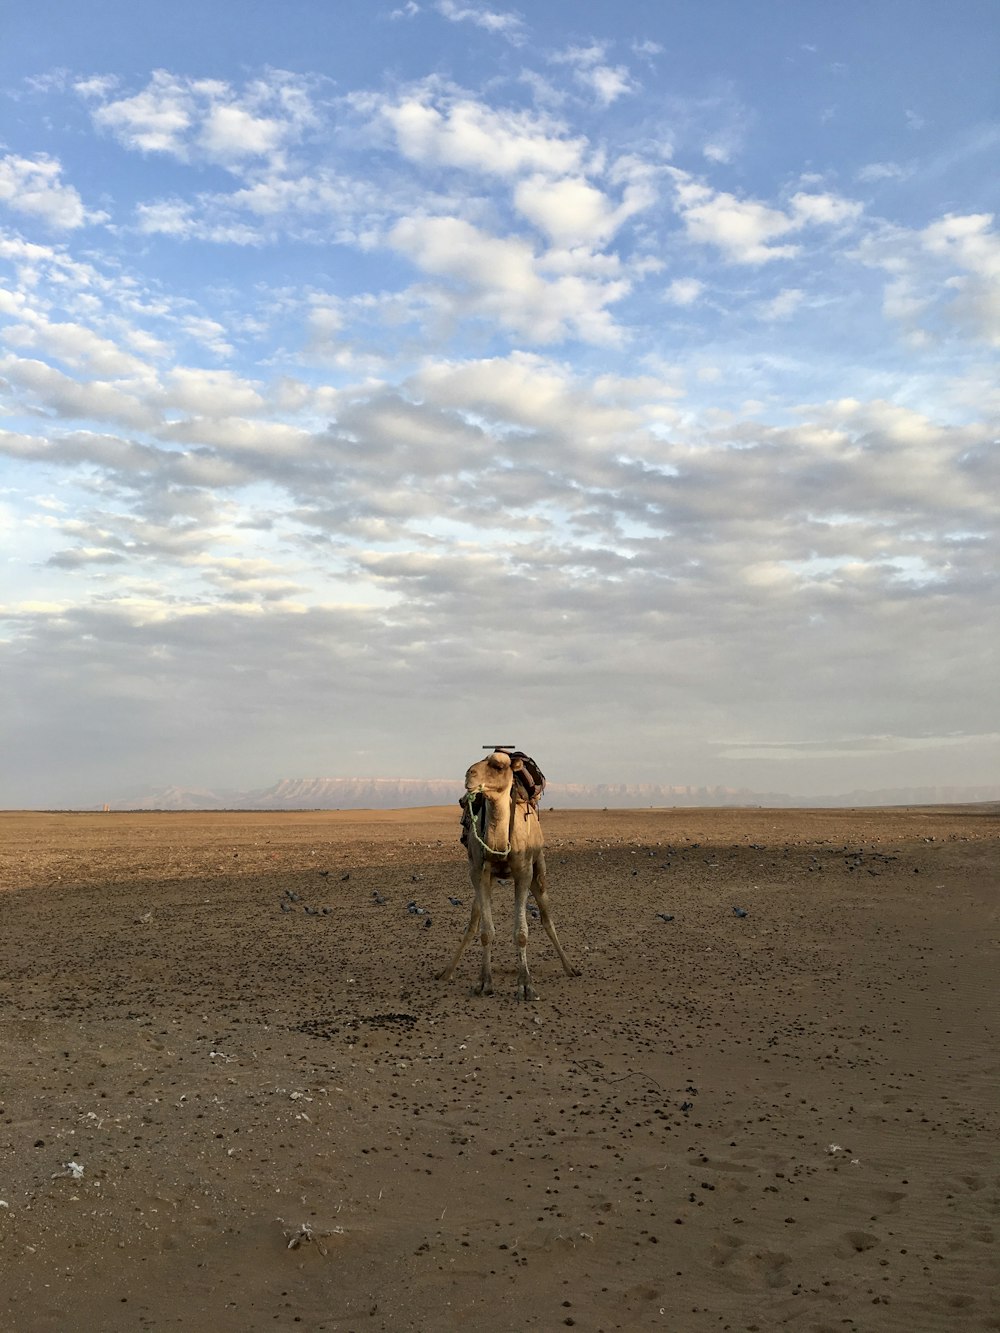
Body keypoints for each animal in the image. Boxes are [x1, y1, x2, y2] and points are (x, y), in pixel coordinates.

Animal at [437, 751, 578, 1002]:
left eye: (499, 766)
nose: (469, 774)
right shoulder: (479, 872)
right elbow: (485, 932)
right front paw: (483, 983)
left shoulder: (523, 871)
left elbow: (521, 932)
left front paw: (526, 986)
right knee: (473, 922)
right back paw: (447, 971)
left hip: (539, 871)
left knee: (546, 916)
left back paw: (569, 967)